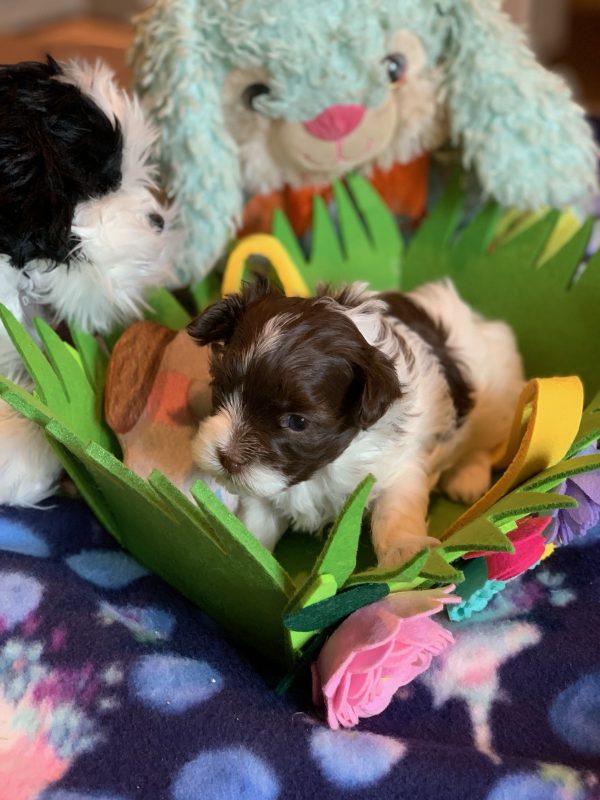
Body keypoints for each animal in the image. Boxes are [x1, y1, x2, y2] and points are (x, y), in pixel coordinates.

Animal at [189, 282, 524, 568]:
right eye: (222, 388)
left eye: (296, 422)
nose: (227, 459)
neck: (322, 468)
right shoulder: (266, 489)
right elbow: (257, 520)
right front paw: (247, 551)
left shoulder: (397, 467)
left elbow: (395, 510)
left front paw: (406, 552)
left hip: (494, 403)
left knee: (484, 443)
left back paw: (468, 477)